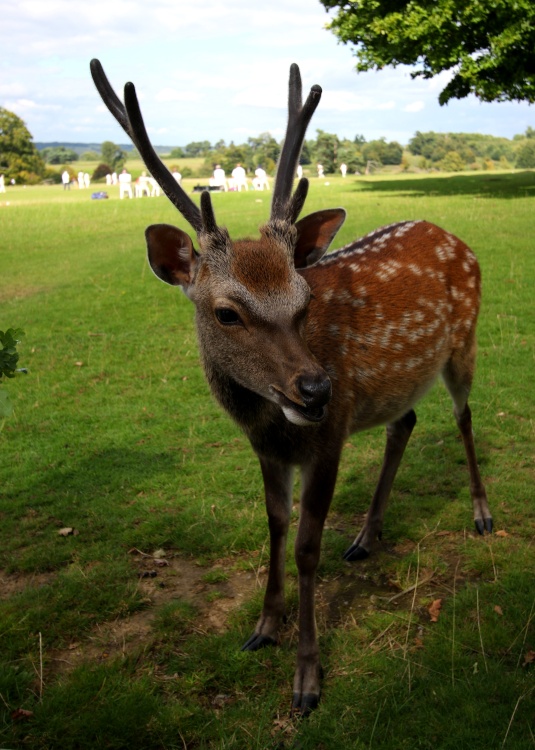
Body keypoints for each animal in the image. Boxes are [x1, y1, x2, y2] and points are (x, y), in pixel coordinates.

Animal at [90, 59, 492, 715]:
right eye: (227, 312)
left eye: (304, 300)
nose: (315, 389)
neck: (267, 423)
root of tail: (452, 234)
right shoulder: (269, 448)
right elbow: (276, 525)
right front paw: (262, 627)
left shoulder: (327, 440)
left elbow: (307, 547)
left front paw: (307, 679)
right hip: (398, 385)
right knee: (406, 421)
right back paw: (366, 536)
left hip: (464, 343)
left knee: (462, 416)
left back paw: (481, 513)